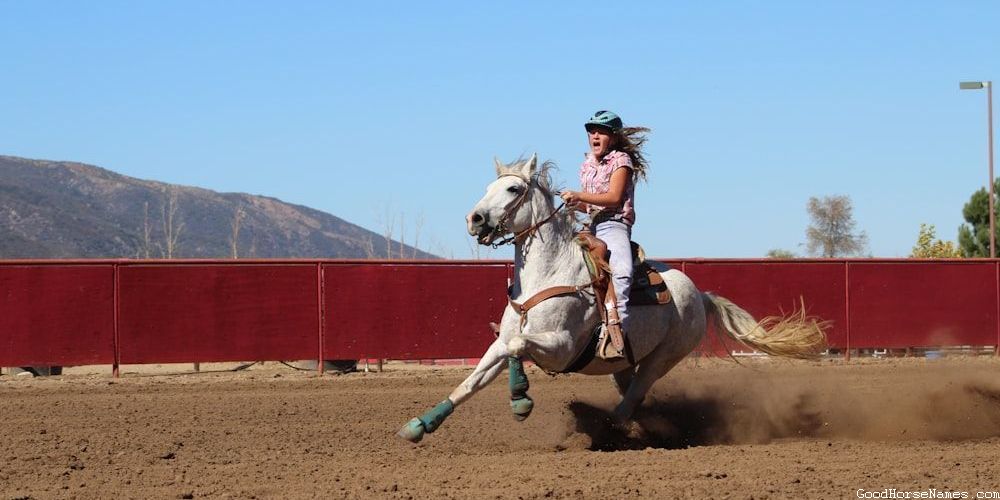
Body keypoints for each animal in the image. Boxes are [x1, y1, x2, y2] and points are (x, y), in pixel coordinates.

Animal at [397, 154, 827, 443]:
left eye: (513, 188)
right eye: (487, 188)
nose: (474, 219)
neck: (547, 274)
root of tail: (699, 294)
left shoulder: (561, 347)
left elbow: (519, 346)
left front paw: (520, 400)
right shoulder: (501, 343)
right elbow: (474, 380)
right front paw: (420, 425)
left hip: (664, 357)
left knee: (635, 394)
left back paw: (611, 429)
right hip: (624, 359)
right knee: (631, 391)